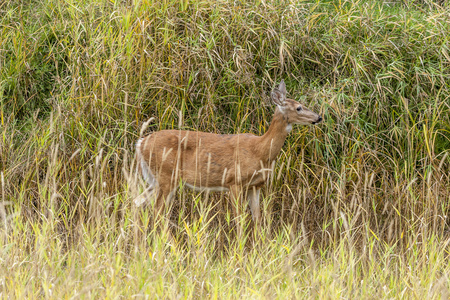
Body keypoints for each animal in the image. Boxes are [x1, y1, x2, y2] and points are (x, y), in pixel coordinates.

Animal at [135, 79, 322, 230]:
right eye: (298, 107)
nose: (319, 117)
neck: (260, 151)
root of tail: (141, 143)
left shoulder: (256, 186)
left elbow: (257, 219)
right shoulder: (234, 181)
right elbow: (239, 220)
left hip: (157, 180)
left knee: (139, 202)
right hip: (166, 176)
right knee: (157, 211)